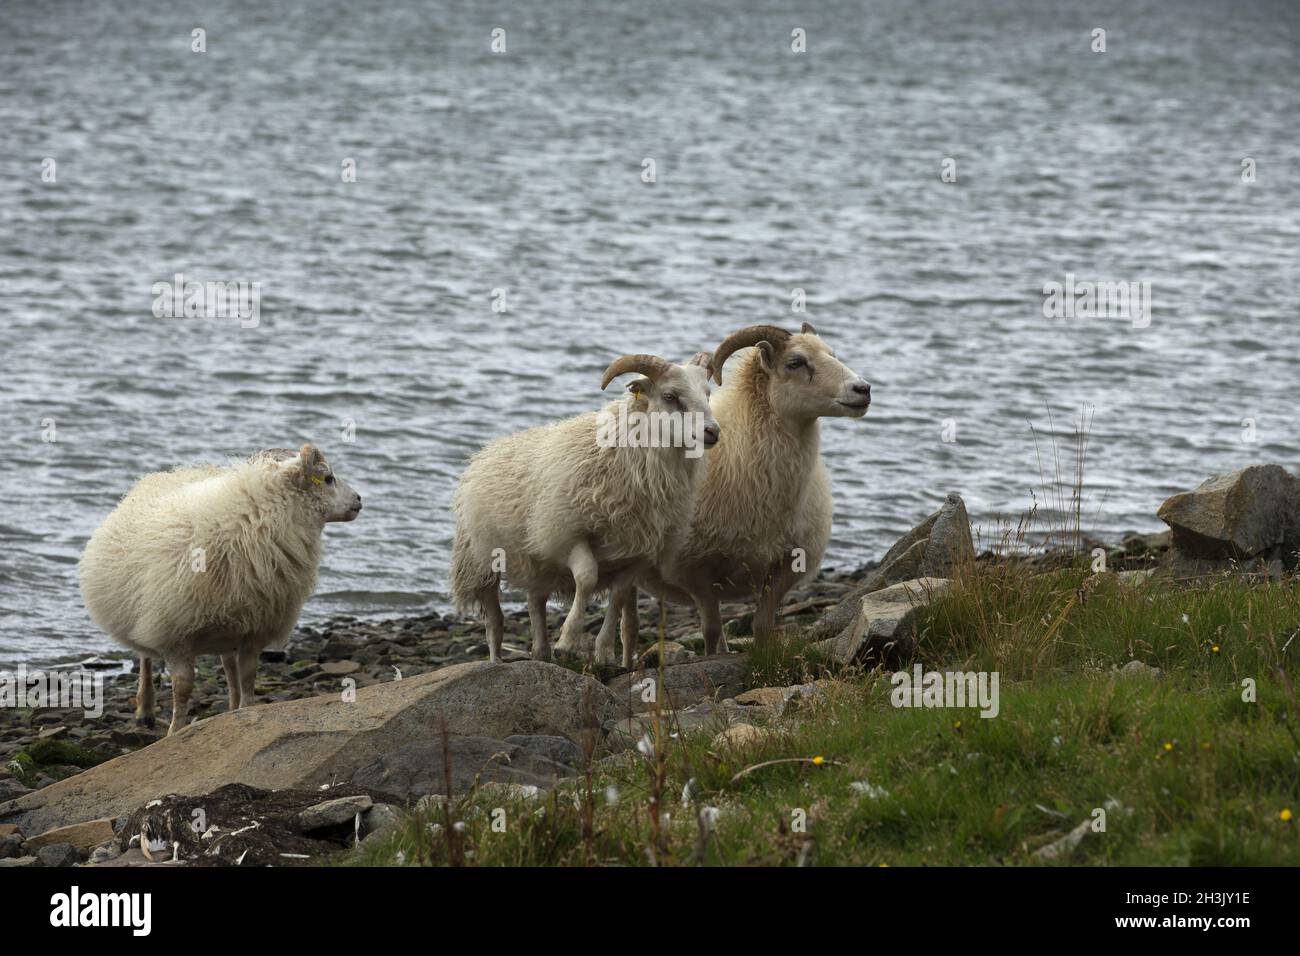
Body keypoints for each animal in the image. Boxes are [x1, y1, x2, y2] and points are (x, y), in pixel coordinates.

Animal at [77, 444, 361, 738]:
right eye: (328, 478)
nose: (359, 499)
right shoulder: (173, 633)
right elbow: (183, 687)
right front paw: (175, 731)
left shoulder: (254, 630)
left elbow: (247, 677)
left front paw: (246, 711)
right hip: (141, 609)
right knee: (144, 657)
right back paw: (145, 710)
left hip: (231, 623)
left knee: (228, 668)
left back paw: (231, 708)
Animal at [621, 325, 873, 655]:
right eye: (795, 362)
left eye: (833, 354)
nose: (863, 389)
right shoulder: (695, 571)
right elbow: (711, 630)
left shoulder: (782, 569)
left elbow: (761, 627)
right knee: (628, 626)